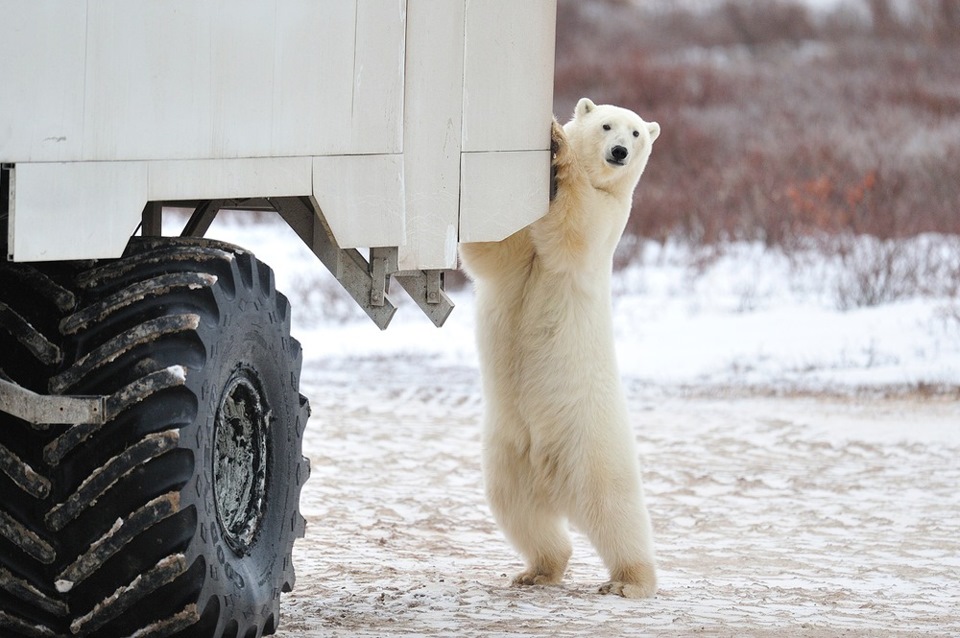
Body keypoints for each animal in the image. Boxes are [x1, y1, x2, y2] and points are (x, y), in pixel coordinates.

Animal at [460, 96, 660, 600]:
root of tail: (553, 480)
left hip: (592, 446)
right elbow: (497, 252)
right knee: (520, 512)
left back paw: (629, 581)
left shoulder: (610, 218)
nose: (618, 153)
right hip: (510, 456)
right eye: (607, 125)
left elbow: (574, 224)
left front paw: (558, 143)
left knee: (616, 512)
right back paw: (537, 570)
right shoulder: (518, 260)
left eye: (636, 133)